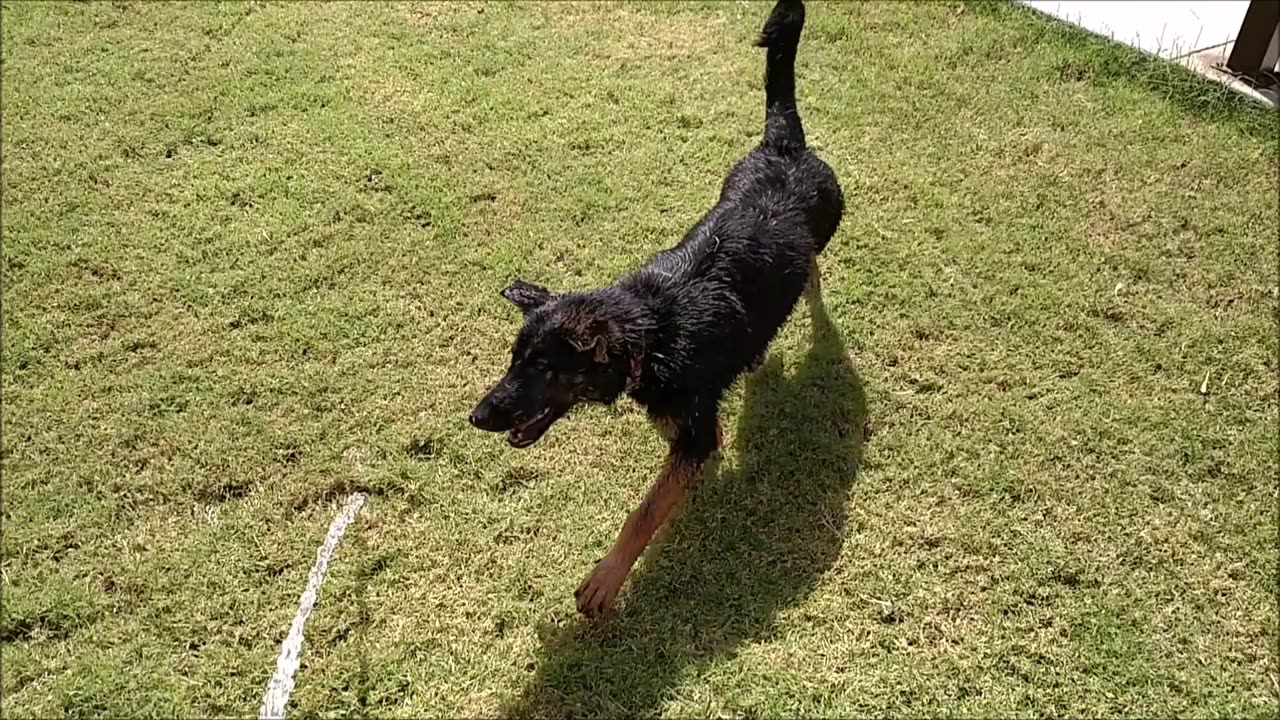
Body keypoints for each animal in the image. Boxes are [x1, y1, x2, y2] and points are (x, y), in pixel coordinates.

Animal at [471, 0, 839, 617]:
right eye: (513, 361)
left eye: (543, 368)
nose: (477, 418)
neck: (651, 329)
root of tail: (782, 146)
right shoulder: (687, 431)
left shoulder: (694, 434)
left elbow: (642, 514)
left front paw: (607, 576)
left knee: (813, 271)